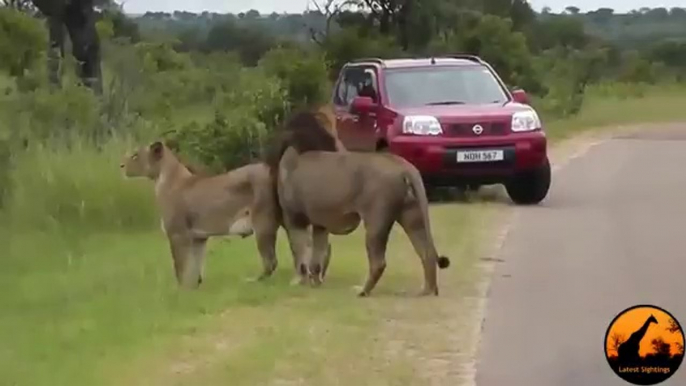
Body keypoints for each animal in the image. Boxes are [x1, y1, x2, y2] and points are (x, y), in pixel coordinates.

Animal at [121, 140, 284, 288]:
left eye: (135, 155)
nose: (121, 165)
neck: (162, 179)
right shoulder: (198, 238)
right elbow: (195, 264)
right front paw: (196, 286)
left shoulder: (178, 234)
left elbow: (181, 266)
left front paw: (182, 290)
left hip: (263, 222)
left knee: (270, 261)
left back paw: (251, 281)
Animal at [266, 107, 454, 298]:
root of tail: (405, 168)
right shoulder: (320, 224)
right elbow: (317, 254)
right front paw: (315, 282)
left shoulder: (294, 218)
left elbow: (299, 251)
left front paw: (298, 281)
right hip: (412, 215)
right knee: (426, 253)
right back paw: (426, 291)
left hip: (376, 219)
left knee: (379, 262)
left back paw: (362, 291)